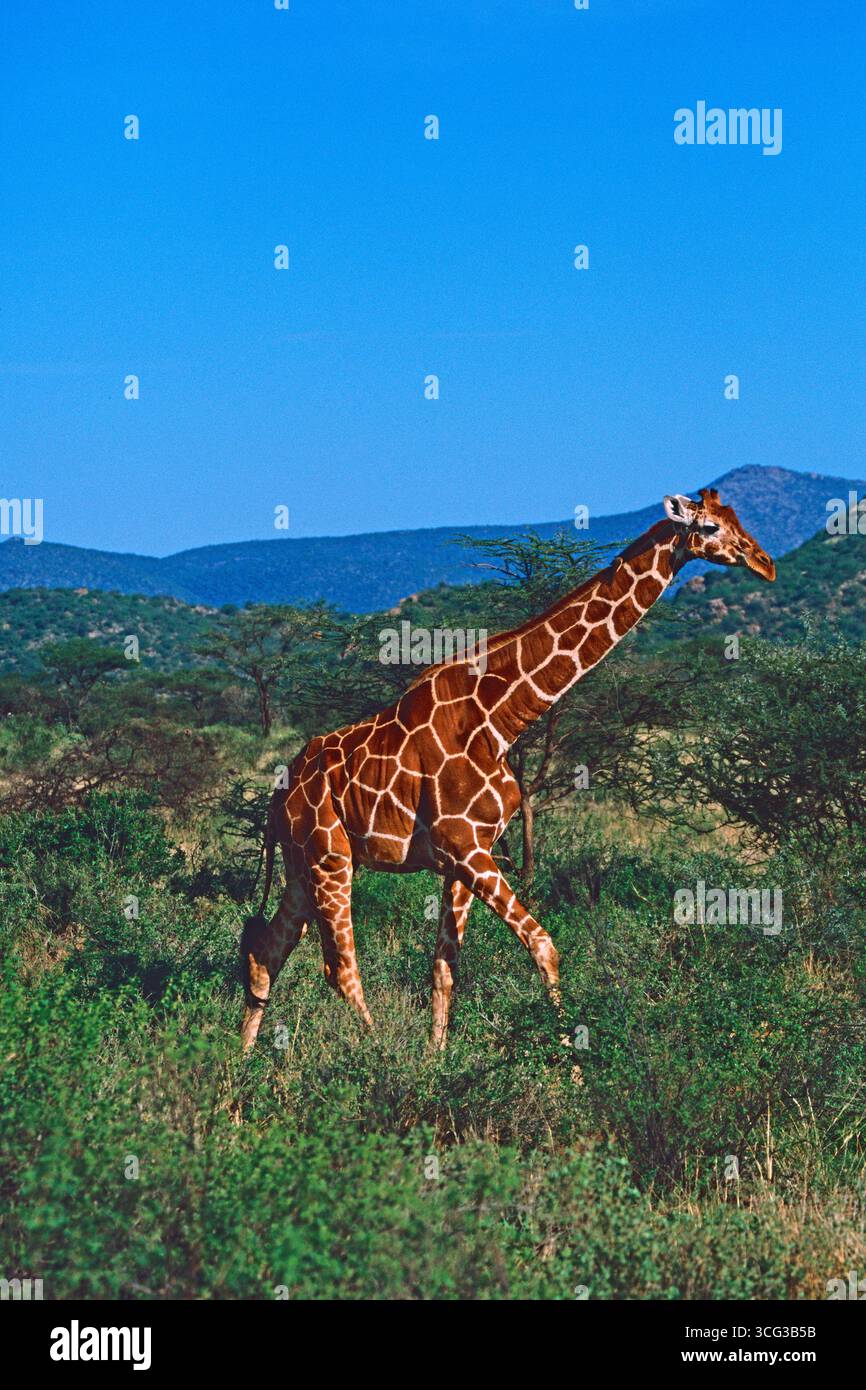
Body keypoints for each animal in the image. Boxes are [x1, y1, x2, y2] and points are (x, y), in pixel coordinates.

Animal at [239, 487, 775, 1051]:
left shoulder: (465, 856)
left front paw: (437, 1059)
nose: (766, 564)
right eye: (711, 527)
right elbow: (544, 946)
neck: (499, 720)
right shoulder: (467, 849)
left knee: (265, 953)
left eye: (736, 518)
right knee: (338, 969)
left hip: (305, 864)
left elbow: (445, 968)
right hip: (329, 858)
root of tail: (280, 791)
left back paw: (240, 1065)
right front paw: (571, 1055)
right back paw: (375, 1053)